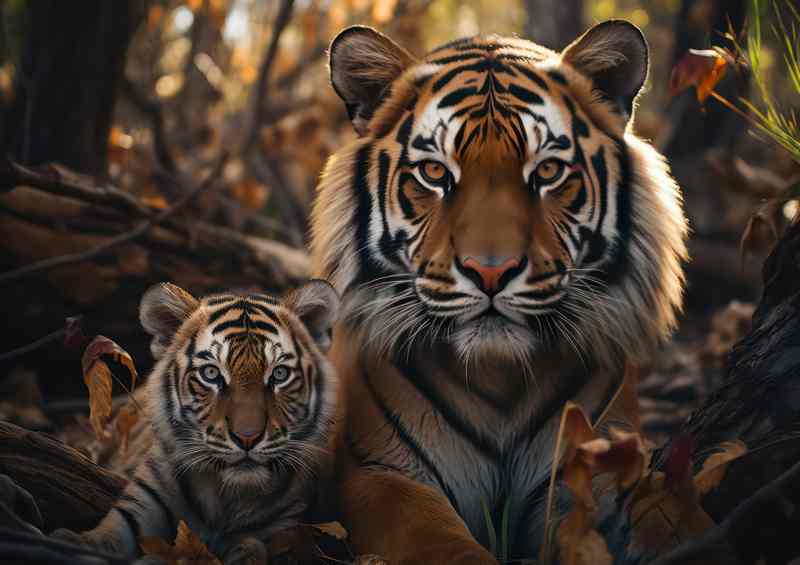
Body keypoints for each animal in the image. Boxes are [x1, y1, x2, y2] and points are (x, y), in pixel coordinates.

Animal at [54, 279, 340, 564]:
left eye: (279, 374)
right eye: (211, 374)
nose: (248, 437)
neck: (227, 498)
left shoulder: (288, 530)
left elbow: (257, 546)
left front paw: (244, 550)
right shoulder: (142, 503)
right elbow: (107, 535)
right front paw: (70, 542)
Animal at [310, 20, 688, 564]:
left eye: (548, 171)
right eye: (435, 172)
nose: (491, 272)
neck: (500, 379)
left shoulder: (594, 475)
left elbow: (663, 518)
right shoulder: (380, 476)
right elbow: (442, 541)